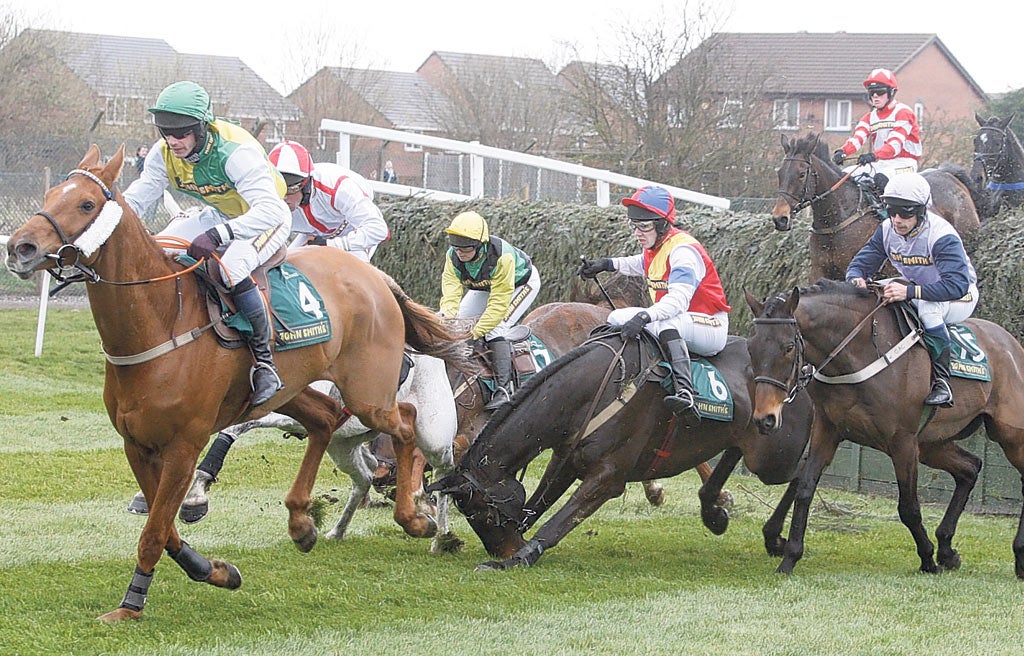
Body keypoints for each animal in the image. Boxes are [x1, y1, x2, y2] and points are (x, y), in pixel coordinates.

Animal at [129, 350, 460, 548]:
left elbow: (232, 428)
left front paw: (196, 494)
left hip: (434, 438)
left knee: (444, 472)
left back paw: (440, 535)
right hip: (343, 444)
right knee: (364, 476)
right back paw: (338, 530)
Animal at [428, 327, 811, 569]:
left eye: (484, 513)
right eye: (471, 516)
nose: (506, 548)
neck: (598, 387)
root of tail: (798, 373)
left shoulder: (609, 475)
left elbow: (560, 520)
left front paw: (519, 558)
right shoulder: (566, 458)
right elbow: (539, 503)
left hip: (773, 455)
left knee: (805, 469)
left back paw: (776, 538)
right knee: (732, 453)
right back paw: (713, 510)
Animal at [741, 278, 1024, 577]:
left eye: (788, 347)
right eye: (751, 347)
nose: (765, 418)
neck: (860, 352)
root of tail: (1011, 345)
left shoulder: (903, 441)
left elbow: (908, 507)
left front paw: (927, 559)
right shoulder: (828, 430)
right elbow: (805, 488)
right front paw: (790, 557)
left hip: (1009, 436)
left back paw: (1017, 555)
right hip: (932, 444)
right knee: (970, 468)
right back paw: (948, 549)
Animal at [770, 132, 978, 282]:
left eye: (801, 174)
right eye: (779, 173)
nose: (780, 218)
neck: (837, 220)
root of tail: (949, 175)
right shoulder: (820, 272)